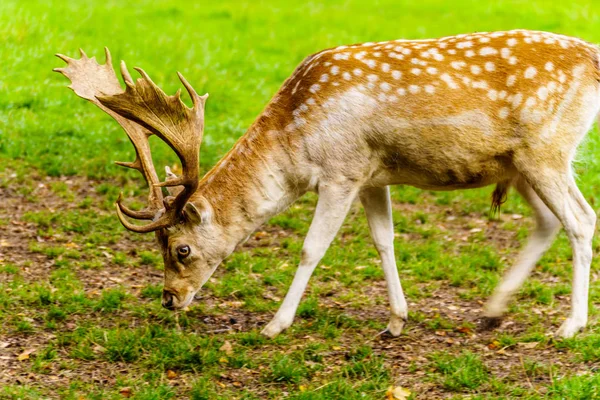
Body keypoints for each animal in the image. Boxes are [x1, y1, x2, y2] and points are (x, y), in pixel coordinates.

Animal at [55, 29, 600, 340]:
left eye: (181, 249)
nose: (169, 298)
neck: (296, 140)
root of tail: (593, 57)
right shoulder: (371, 174)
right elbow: (384, 240)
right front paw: (396, 321)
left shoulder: (340, 173)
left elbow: (311, 248)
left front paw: (275, 324)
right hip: (520, 164)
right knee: (548, 222)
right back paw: (491, 312)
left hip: (547, 150)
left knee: (580, 219)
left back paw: (570, 326)